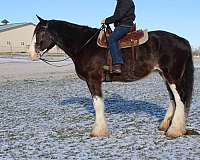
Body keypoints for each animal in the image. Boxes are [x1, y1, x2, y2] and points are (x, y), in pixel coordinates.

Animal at [29, 16, 194, 139]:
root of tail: (183, 41)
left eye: (40, 32)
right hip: (165, 76)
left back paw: (174, 131)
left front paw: (98, 131)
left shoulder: (93, 79)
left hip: (172, 76)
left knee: (180, 98)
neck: (84, 45)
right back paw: (166, 126)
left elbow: (97, 104)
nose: (31, 54)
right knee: (173, 99)